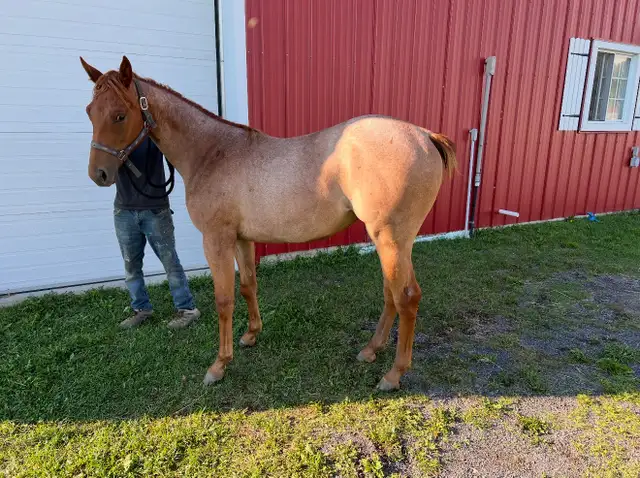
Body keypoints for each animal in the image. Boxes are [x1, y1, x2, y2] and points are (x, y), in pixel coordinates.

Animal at [80, 55, 456, 391]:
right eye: (89, 111)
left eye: (119, 115)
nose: (99, 174)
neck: (213, 153)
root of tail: (425, 136)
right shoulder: (242, 239)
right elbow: (248, 285)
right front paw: (250, 335)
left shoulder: (216, 239)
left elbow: (223, 299)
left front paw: (219, 365)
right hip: (391, 242)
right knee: (391, 293)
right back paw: (370, 350)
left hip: (391, 238)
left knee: (406, 297)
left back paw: (393, 374)